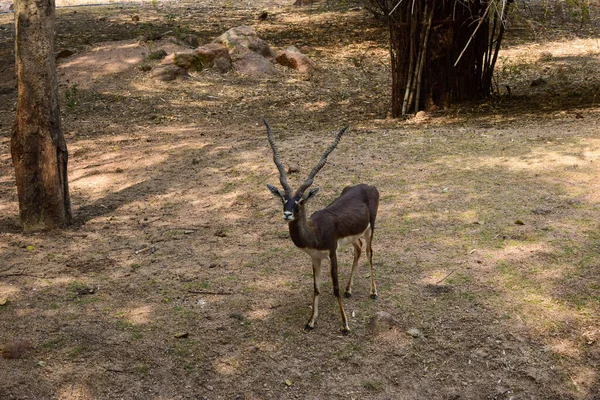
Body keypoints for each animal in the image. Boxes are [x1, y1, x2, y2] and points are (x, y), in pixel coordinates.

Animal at [264, 120, 380, 332]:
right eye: (283, 198)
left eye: (301, 200)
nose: (287, 214)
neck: (314, 233)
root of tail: (367, 185)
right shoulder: (315, 257)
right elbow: (316, 287)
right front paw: (311, 321)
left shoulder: (332, 253)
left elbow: (334, 287)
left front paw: (345, 325)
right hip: (354, 236)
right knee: (358, 248)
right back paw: (349, 290)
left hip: (370, 228)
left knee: (369, 252)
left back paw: (373, 292)